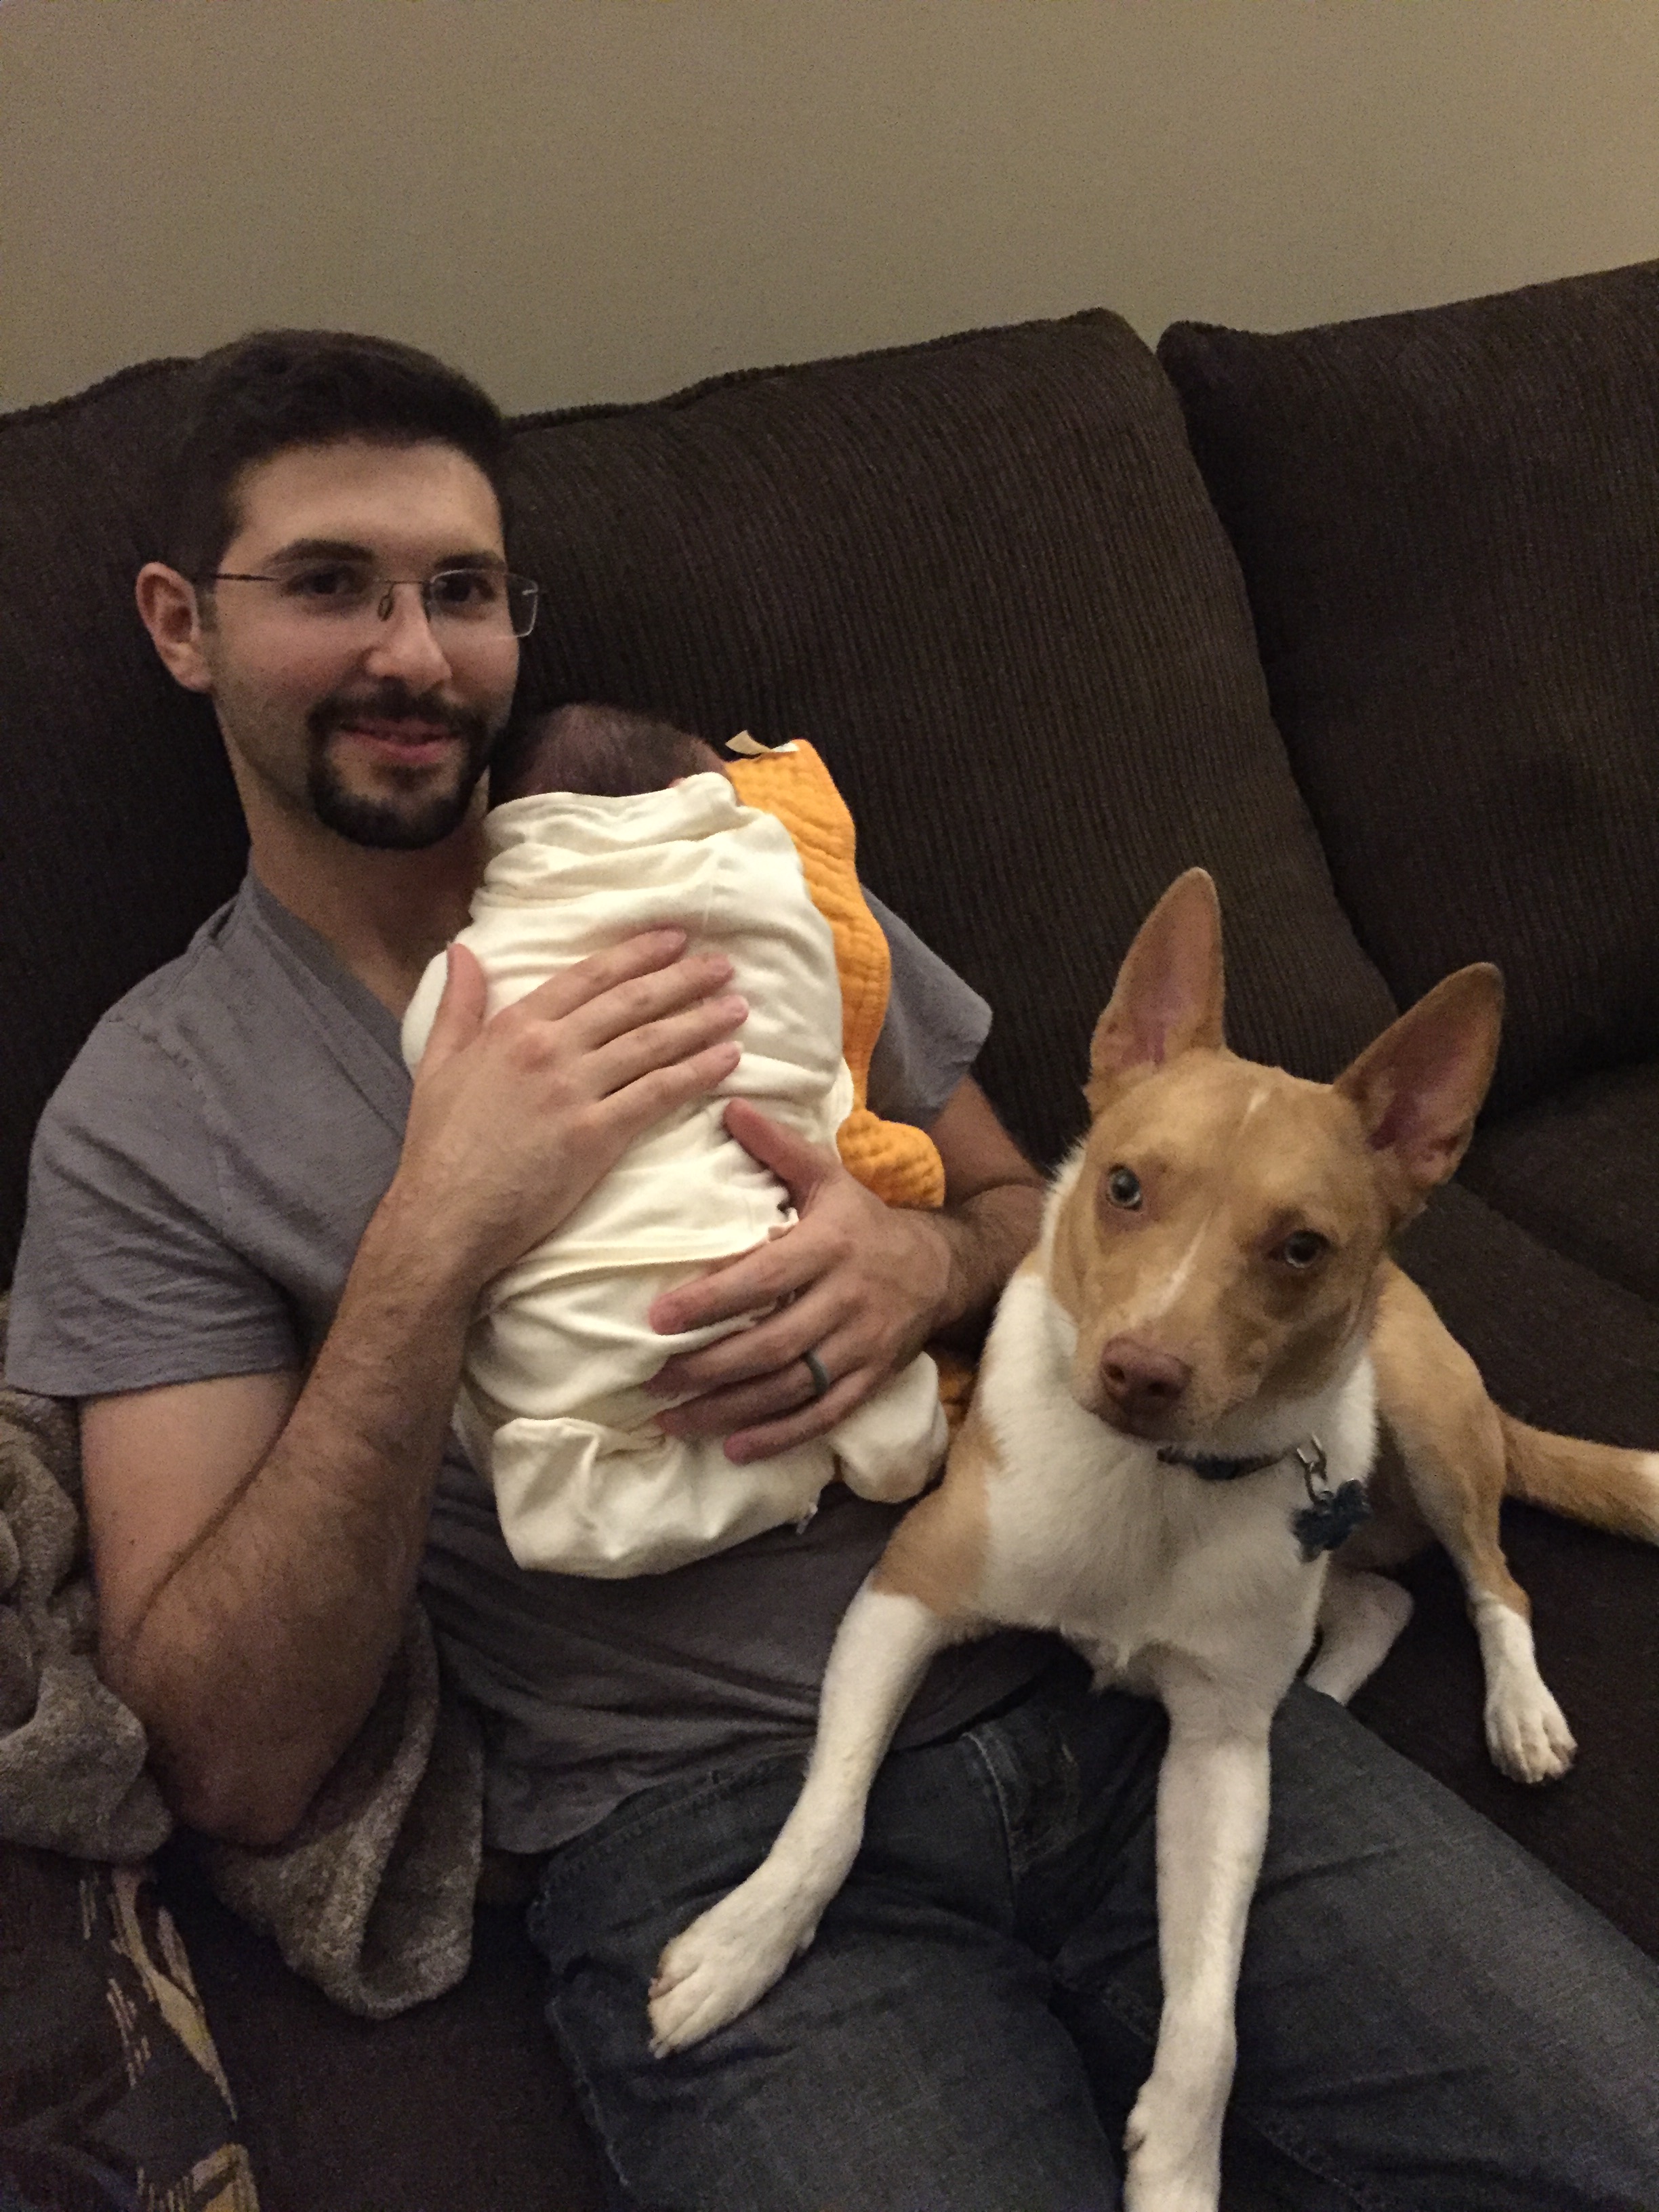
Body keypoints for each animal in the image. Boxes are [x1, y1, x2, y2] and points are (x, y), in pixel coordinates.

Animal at [646, 868, 1659, 2211]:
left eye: (1300, 1246)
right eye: (1123, 1186)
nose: (1140, 1372)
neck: (1157, 1486)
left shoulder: (1217, 1764)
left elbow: (1212, 2011)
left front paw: (1175, 2160)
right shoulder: (905, 1594)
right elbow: (832, 1812)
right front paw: (742, 1947)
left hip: (1424, 1417)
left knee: (1490, 1580)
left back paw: (1516, 1707)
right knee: (1378, 1600)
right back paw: (1326, 1687)